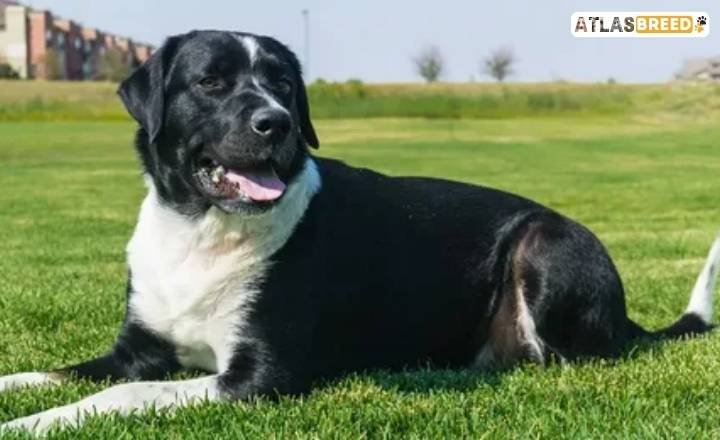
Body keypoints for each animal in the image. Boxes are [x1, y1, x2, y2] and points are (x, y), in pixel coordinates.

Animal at [1, 30, 720, 434]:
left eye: (285, 84)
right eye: (210, 81)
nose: (277, 122)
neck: (202, 231)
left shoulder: (259, 378)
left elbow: (125, 392)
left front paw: (34, 424)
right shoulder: (137, 349)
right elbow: (57, 373)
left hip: (544, 244)